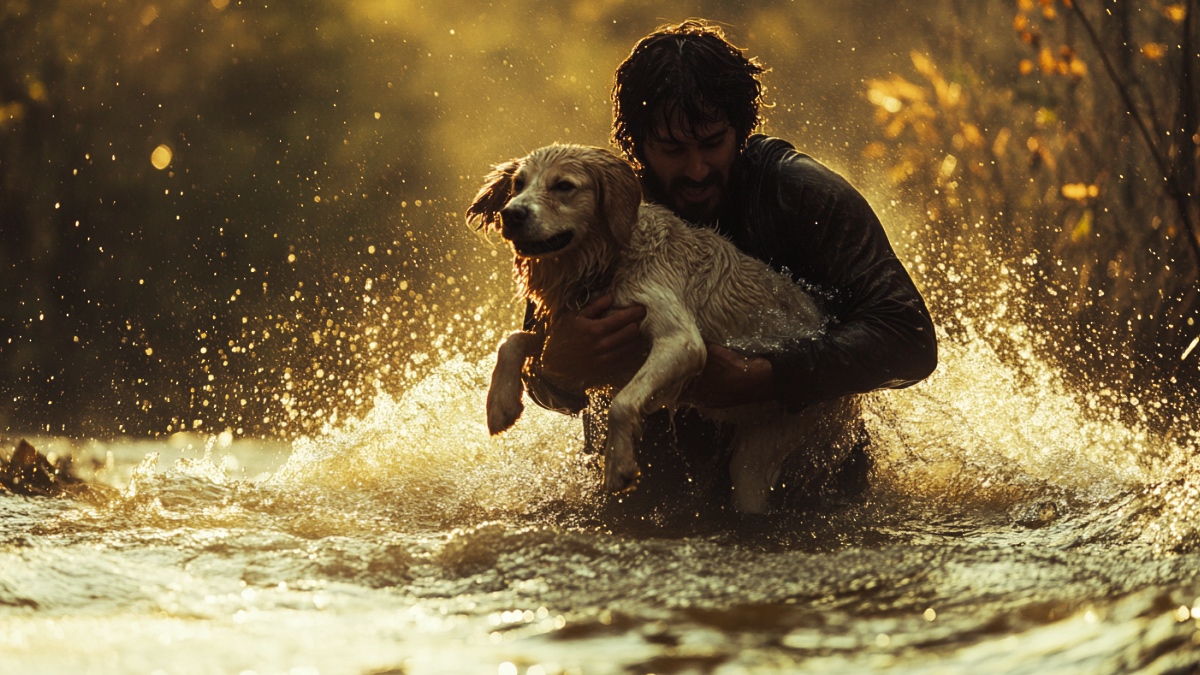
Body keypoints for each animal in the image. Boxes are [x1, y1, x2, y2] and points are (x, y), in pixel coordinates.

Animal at [463, 142, 859, 509]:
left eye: (563, 186)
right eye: (518, 184)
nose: (511, 213)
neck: (608, 263)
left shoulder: (681, 341)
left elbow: (623, 402)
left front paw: (619, 464)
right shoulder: (573, 332)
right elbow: (513, 340)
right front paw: (499, 405)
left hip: (764, 451)